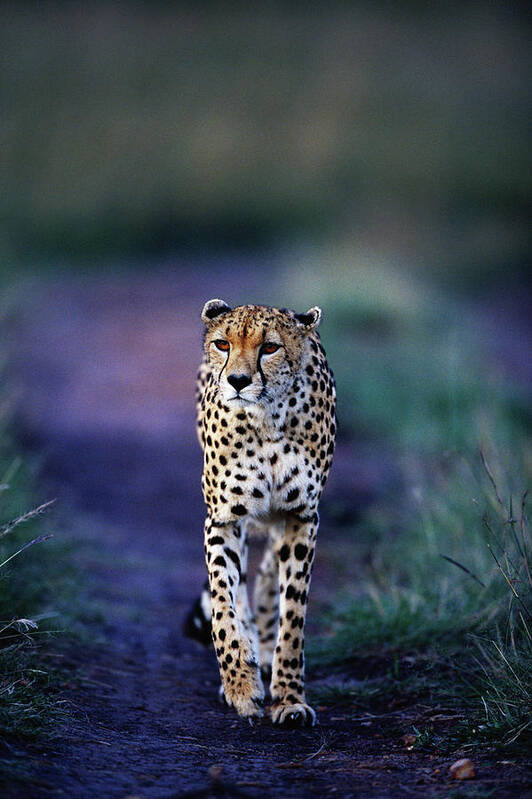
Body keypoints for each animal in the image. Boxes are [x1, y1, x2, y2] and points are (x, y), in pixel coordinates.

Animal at [187, 298, 334, 724]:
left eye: (269, 348)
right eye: (223, 344)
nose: (237, 380)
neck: (266, 420)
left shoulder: (302, 517)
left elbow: (294, 614)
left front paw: (289, 697)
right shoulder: (223, 519)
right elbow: (224, 604)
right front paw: (240, 685)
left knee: (269, 569)